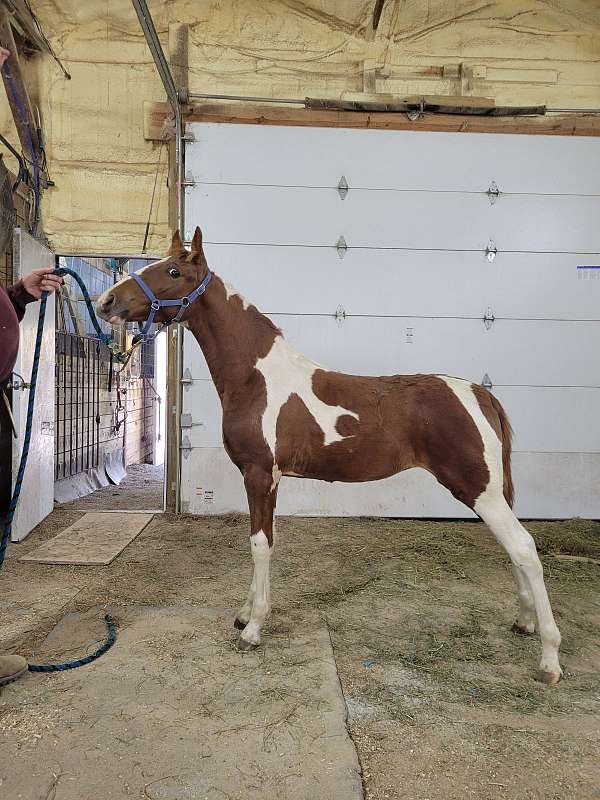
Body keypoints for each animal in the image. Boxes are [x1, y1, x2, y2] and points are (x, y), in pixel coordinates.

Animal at [97, 227, 562, 685]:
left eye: (173, 272)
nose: (106, 303)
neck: (257, 378)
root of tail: (481, 394)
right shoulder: (271, 479)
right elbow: (264, 540)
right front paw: (246, 613)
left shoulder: (259, 474)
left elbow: (259, 544)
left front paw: (253, 628)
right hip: (490, 492)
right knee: (513, 550)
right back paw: (524, 622)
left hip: (479, 489)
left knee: (523, 547)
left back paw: (549, 659)